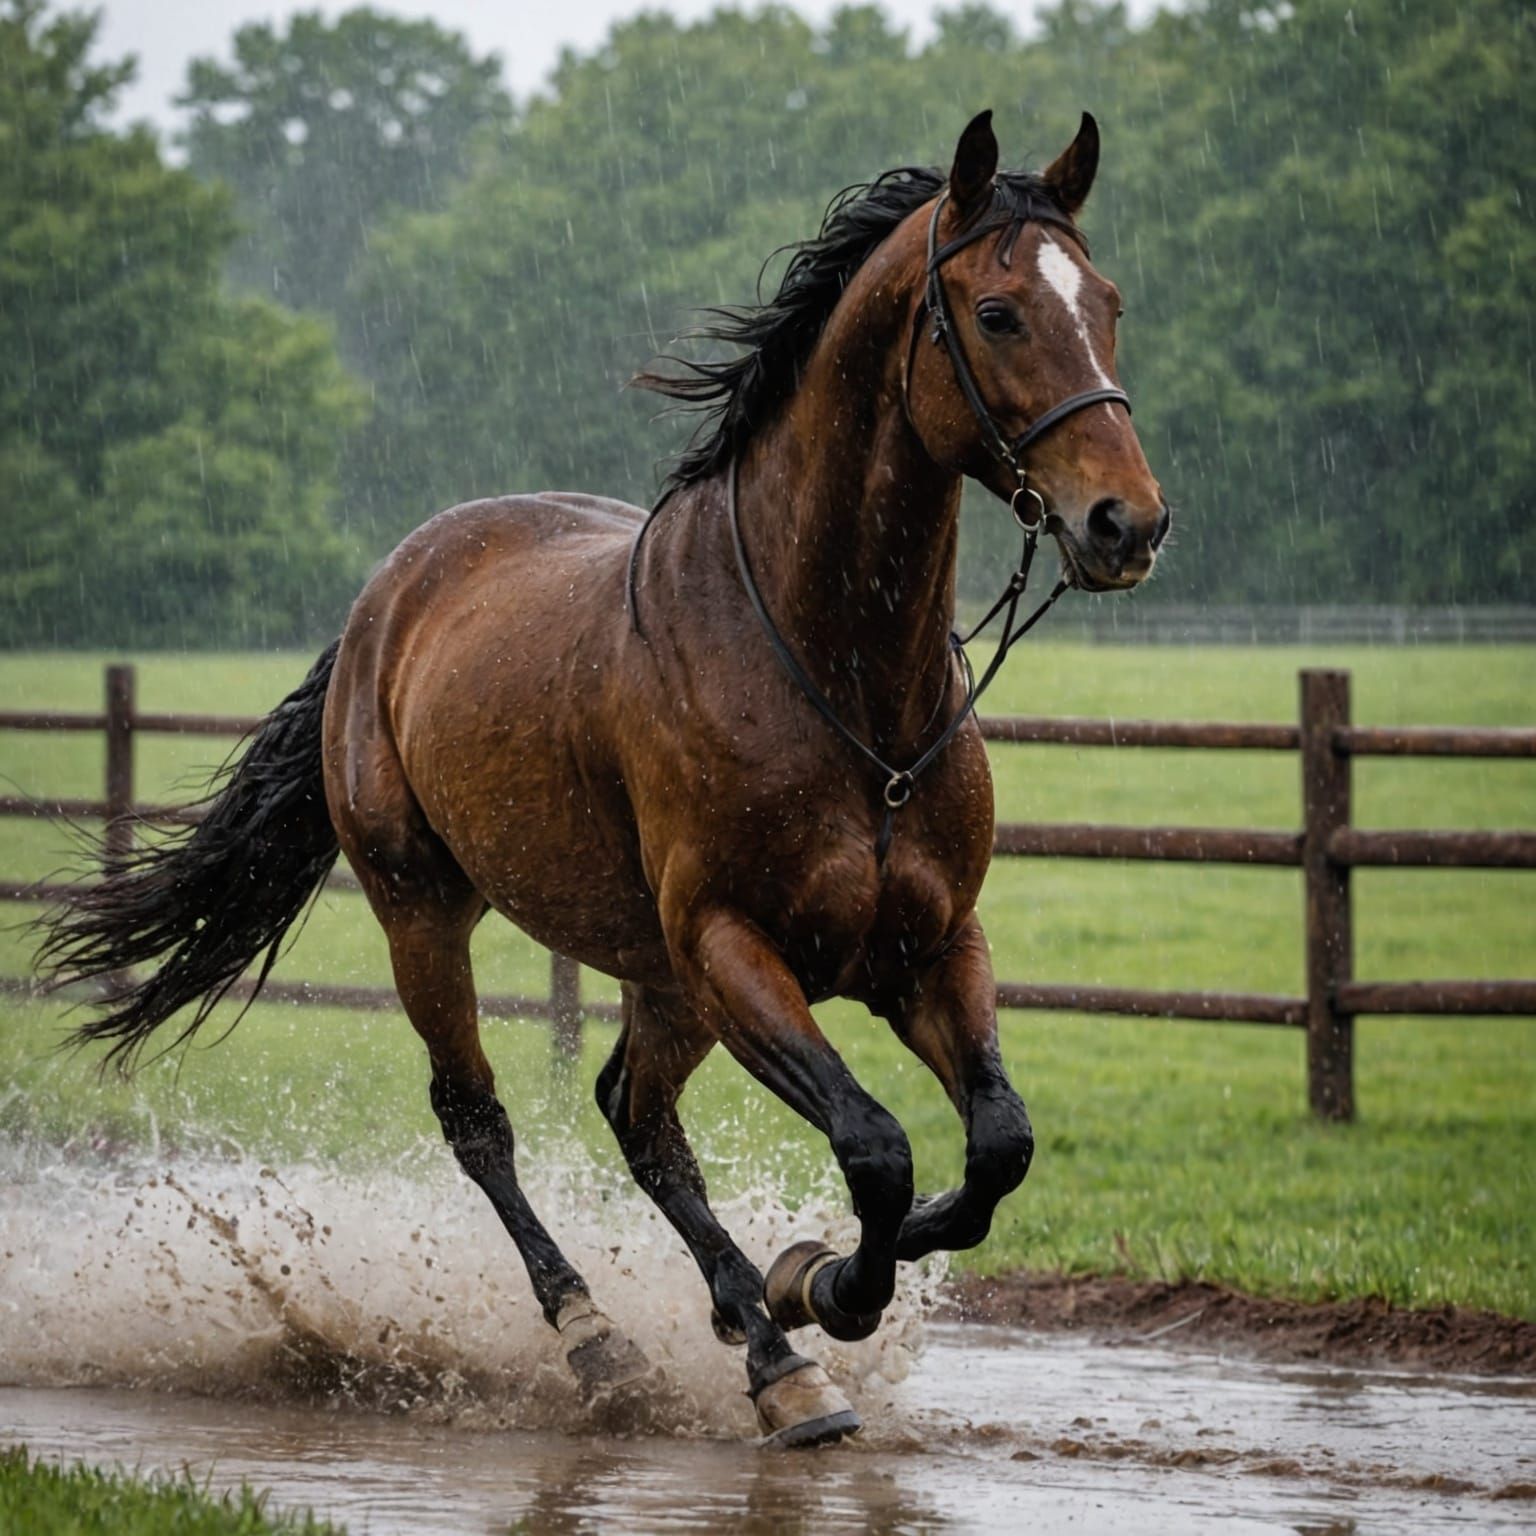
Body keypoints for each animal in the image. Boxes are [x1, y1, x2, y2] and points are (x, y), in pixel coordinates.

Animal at [38, 110, 1168, 1447]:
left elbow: (995, 1147)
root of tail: (388, 596)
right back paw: (617, 1343)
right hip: (428, 915)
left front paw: (800, 1282)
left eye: (1105, 301)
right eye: (997, 314)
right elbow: (875, 1144)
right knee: (485, 1122)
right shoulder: (733, 947)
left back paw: (760, 1342)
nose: (1127, 524)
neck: (840, 686)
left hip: (652, 974)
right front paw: (825, 1285)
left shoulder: (930, 948)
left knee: (638, 1116)